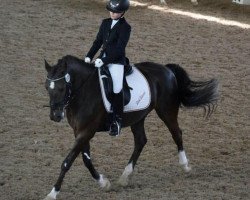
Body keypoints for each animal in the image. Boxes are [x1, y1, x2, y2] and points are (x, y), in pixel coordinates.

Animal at [44, 55, 218, 200]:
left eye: (61, 87)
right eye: (47, 87)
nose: (55, 116)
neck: (83, 91)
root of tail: (166, 69)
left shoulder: (87, 131)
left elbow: (67, 161)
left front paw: (53, 193)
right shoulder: (79, 131)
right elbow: (86, 160)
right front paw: (103, 183)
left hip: (166, 111)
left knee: (177, 134)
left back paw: (185, 166)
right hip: (138, 117)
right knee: (141, 141)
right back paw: (124, 177)